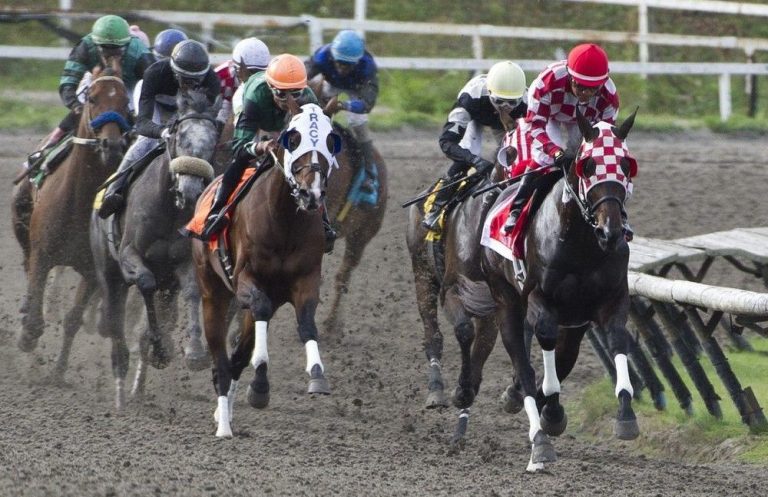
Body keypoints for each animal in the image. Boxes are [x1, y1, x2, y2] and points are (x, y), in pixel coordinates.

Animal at [11, 65, 129, 376]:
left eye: (126, 102)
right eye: (93, 98)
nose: (111, 144)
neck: (78, 201)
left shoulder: (92, 271)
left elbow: (73, 319)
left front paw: (58, 372)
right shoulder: (42, 254)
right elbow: (36, 316)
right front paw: (27, 339)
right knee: (27, 267)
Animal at [92, 90, 222, 410]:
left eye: (213, 140)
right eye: (179, 135)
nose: (190, 191)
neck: (168, 208)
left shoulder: (182, 263)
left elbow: (192, 291)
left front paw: (195, 353)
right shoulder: (130, 256)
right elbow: (145, 283)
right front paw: (160, 348)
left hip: (168, 286)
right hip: (108, 274)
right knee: (116, 326)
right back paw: (121, 392)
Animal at [191, 101, 340, 438]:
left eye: (330, 139)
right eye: (293, 138)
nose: (311, 194)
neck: (284, 220)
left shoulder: (305, 280)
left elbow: (306, 323)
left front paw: (317, 374)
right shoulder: (246, 279)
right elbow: (257, 322)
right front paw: (260, 380)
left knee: (236, 357)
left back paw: (225, 414)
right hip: (212, 292)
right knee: (221, 363)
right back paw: (224, 426)